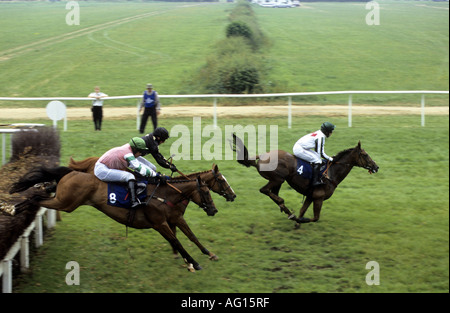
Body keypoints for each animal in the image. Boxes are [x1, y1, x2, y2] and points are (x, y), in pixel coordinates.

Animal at [3, 166, 218, 270]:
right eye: (207, 192)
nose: (214, 210)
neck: (163, 194)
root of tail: (72, 172)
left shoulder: (171, 220)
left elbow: (188, 237)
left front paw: (207, 255)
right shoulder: (160, 223)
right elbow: (178, 241)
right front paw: (194, 263)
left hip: (62, 200)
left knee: (38, 196)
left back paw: (12, 208)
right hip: (65, 203)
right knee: (37, 198)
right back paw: (11, 209)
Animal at [232, 133, 380, 225]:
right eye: (365, 155)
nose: (376, 166)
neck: (331, 173)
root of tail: (261, 157)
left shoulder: (310, 196)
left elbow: (302, 211)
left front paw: (297, 221)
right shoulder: (318, 197)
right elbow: (314, 218)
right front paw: (299, 220)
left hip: (278, 181)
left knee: (272, 193)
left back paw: (285, 209)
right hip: (277, 179)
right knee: (265, 190)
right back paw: (284, 206)